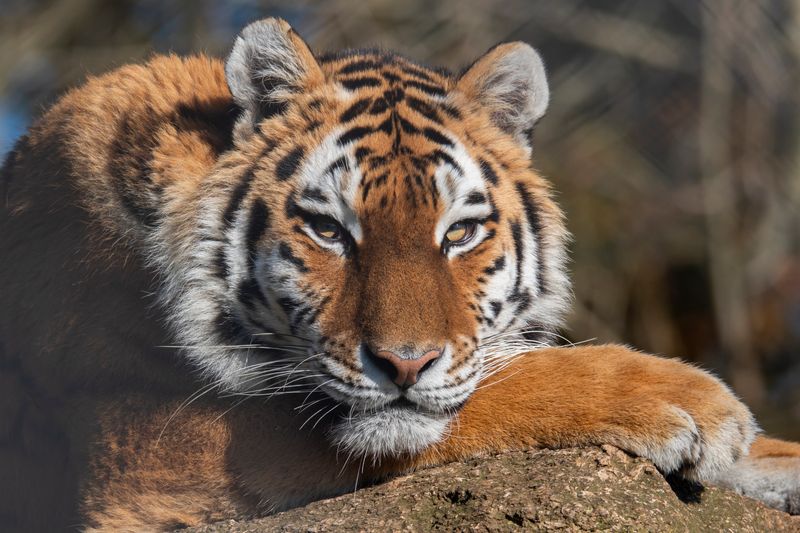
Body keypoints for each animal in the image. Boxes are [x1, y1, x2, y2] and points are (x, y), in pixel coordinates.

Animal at [1, 17, 799, 531]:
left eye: (460, 232)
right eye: (328, 229)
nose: (405, 363)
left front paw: (767, 456)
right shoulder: (151, 446)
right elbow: (501, 388)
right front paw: (691, 401)